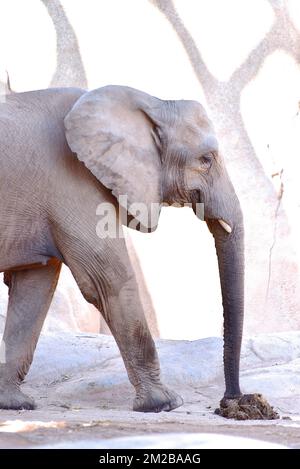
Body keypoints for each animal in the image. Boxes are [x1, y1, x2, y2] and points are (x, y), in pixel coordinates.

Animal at [0, 84, 274, 416]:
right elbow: (109, 279)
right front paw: (165, 404)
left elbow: (33, 288)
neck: (152, 102)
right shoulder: (71, 181)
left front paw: (14, 404)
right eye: (206, 159)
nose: (231, 400)